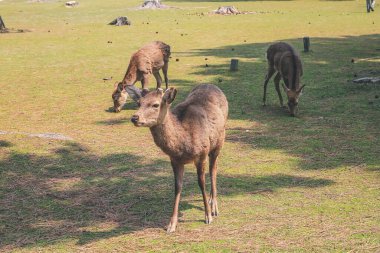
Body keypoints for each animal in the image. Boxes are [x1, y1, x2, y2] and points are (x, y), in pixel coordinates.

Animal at [130, 84, 229, 232]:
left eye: (155, 104)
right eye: (138, 103)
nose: (135, 118)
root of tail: (213, 85)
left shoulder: (201, 154)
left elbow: (201, 183)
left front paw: (208, 216)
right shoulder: (175, 160)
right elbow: (177, 187)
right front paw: (171, 224)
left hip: (219, 142)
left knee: (213, 170)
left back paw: (214, 207)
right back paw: (211, 200)